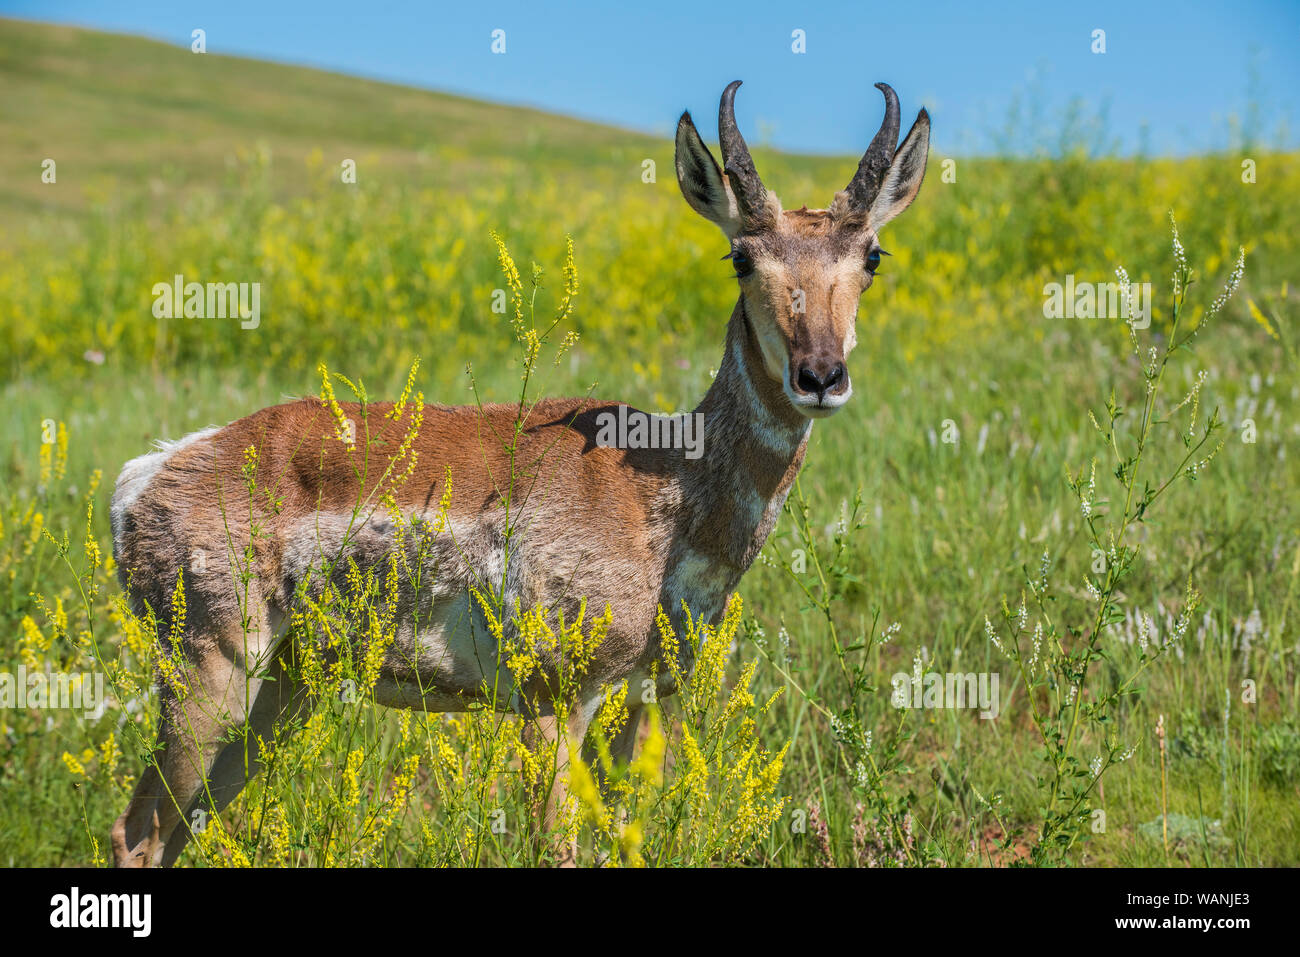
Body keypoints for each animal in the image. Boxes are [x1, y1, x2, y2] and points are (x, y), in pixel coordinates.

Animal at [110, 80, 930, 867]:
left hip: (285, 686)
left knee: (180, 827)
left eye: (872, 256)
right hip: (210, 672)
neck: (661, 485)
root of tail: (151, 471)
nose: (820, 375)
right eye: (741, 256)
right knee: (137, 830)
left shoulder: (643, 698)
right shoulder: (551, 702)